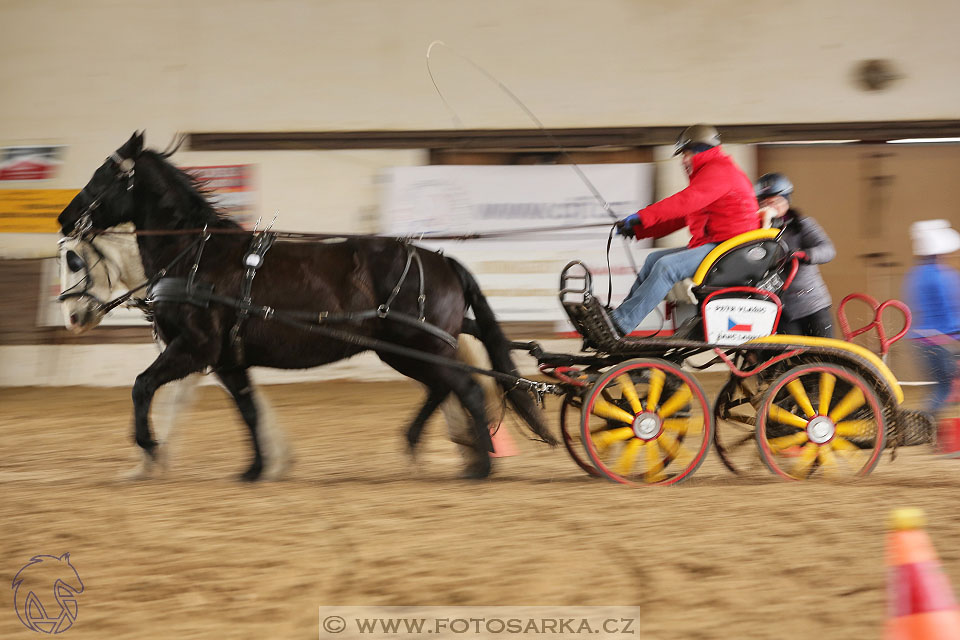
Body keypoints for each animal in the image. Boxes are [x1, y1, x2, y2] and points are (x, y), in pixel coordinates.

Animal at [58, 132, 556, 478]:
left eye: (104, 175)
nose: (65, 218)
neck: (195, 256)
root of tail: (442, 259)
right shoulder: (225, 359)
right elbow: (248, 409)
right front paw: (258, 468)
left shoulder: (194, 348)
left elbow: (142, 386)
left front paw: (148, 447)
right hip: (408, 349)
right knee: (443, 388)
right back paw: (425, 445)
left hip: (418, 345)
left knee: (466, 389)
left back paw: (483, 464)